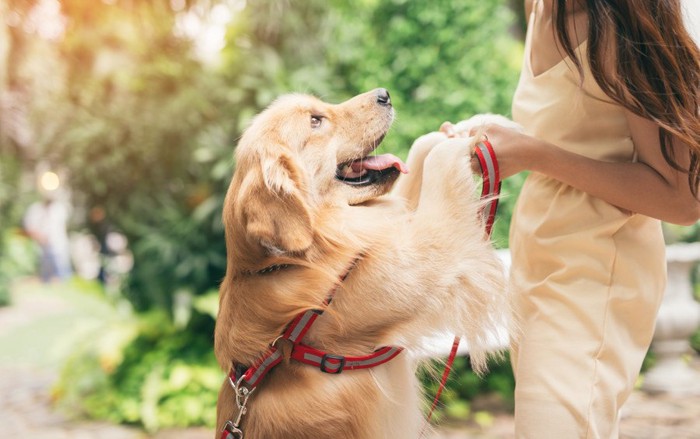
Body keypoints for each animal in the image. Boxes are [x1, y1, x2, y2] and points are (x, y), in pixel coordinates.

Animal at [213, 89, 508, 439]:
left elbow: (418, 162)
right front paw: (459, 142)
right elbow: (438, 168)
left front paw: (461, 129)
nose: (384, 94)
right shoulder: (426, 257)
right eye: (315, 121)